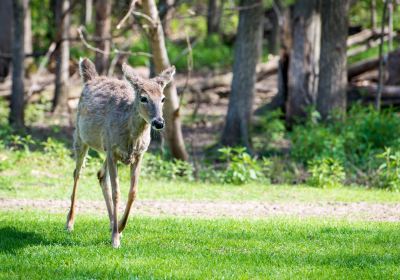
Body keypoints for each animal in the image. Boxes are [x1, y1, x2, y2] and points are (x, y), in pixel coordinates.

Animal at [66, 57, 175, 247]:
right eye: (143, 98)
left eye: (163, 98)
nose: (159, 122)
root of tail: (92, 78)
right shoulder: (112, 152)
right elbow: (117, 193)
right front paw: (116, 238)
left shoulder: (138, 155)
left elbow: (133, 192)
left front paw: (120, 228)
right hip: (80, 136)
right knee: (77, 173)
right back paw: (70, 222)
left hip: (105, 147)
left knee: (100, 174)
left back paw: (112, 224)